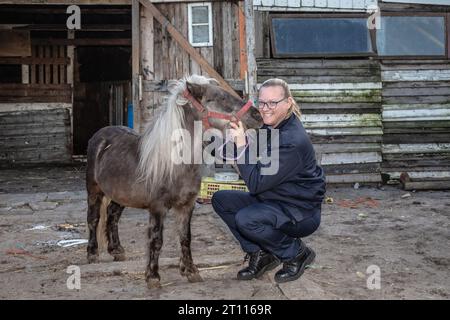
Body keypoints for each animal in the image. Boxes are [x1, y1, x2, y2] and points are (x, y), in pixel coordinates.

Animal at [85, 74, 262, 288]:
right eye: (220, 97)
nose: (257, 115)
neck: (175, 163)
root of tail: (101, 135)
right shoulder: (158, 207)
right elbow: (156, 240)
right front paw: (153, 277)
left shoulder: (187, 206)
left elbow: (185, 237)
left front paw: (191, 271)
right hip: (94, 190)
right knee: (93, 219)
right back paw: (92, 253)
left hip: (121, 196)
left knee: (112, 216)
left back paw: (117, 250)